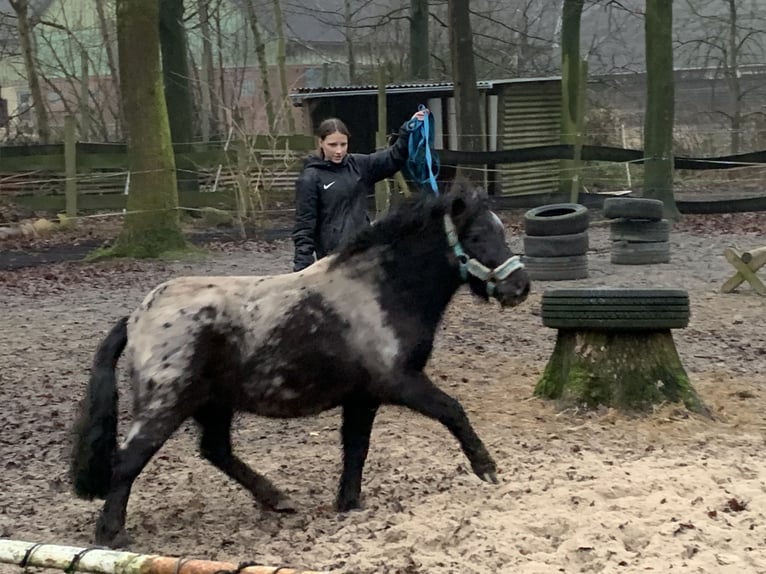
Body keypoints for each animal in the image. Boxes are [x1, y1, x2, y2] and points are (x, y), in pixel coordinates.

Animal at [70, 186, 528, 548]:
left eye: (500, 231)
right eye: (476, 235)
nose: (519, 287)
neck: (378, 290)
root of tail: (137, 317)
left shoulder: (363, 397)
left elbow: (356, 449)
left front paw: (349, 504)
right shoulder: (400, 383)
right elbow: (453, 410)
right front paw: (487, 469)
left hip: (212, 403)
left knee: (216, 451)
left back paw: (276, 498)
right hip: (165, 404)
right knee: (129, 460)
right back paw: (112, 534)